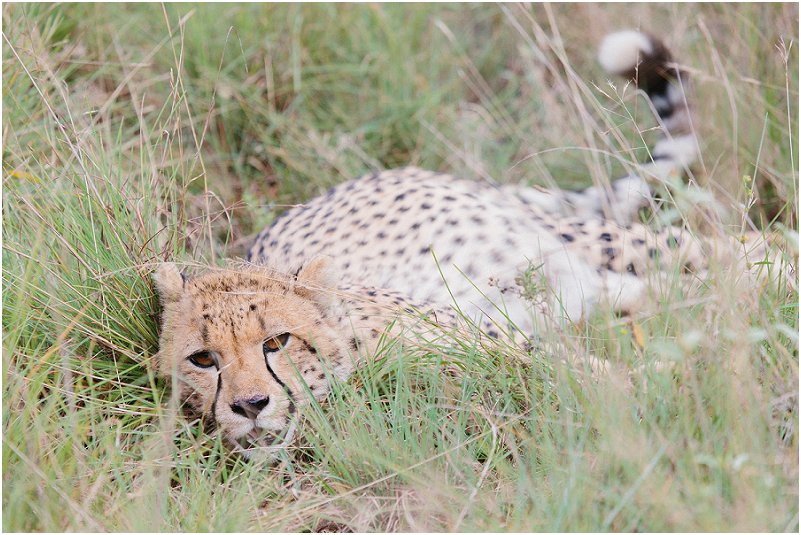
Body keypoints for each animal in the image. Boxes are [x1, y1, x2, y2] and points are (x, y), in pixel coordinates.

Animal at [153, 31, 788, 457]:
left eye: (277, 342)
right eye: (203, 359)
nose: (249, 407)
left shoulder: (485, 337)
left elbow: (594, 375)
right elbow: (596, 375)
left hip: (568, 239)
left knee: (734, 246)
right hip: (572, 286)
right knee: (680, 286)